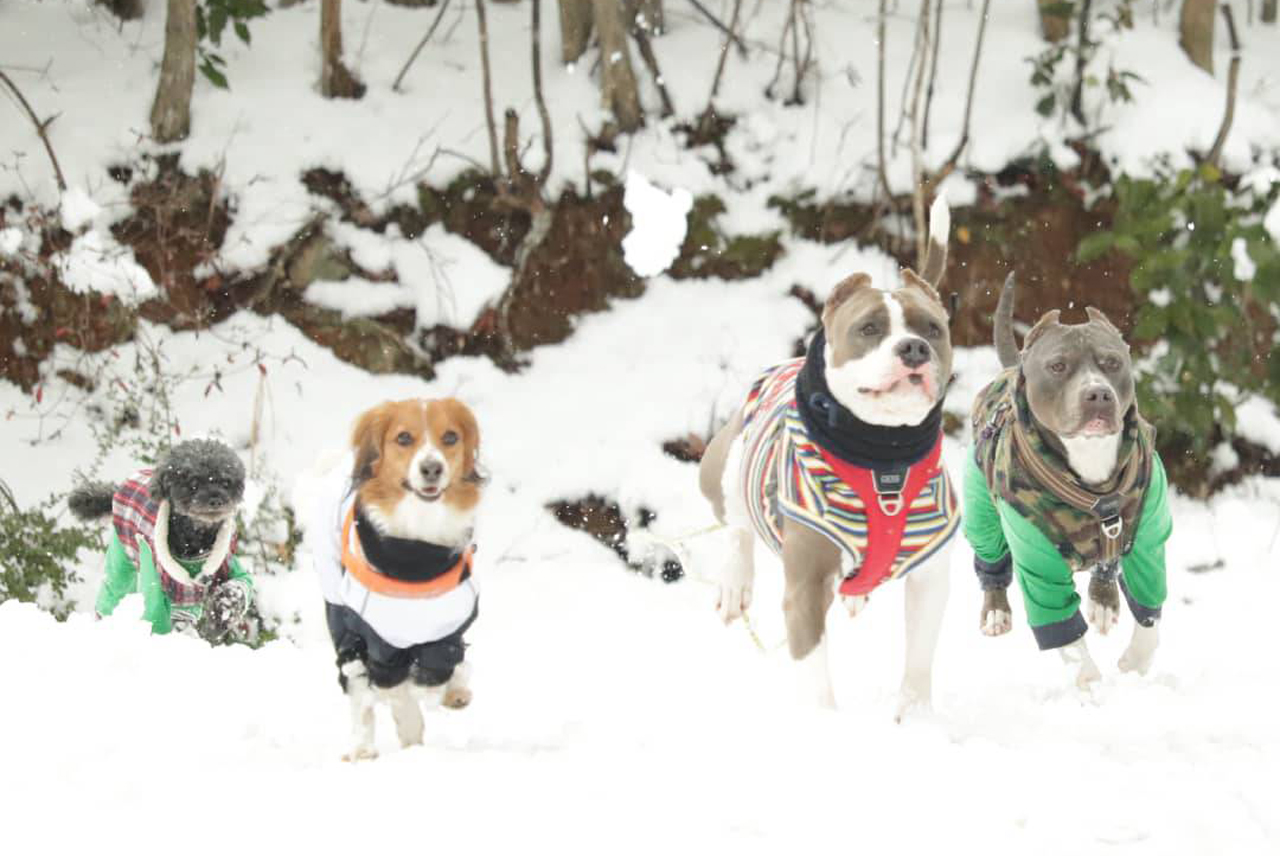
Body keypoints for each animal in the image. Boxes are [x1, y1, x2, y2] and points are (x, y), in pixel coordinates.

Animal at [304, 396, 483, 757]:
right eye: (403, 438)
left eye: (451, 437)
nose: (432, 468)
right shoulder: (378, 641)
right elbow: (395, 692)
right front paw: (412, 737)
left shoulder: (449, 625)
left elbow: (444, 662)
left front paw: (451, 691)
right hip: (342, 623)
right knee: (357, 690)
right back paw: (362, 750)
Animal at [696, 197, 957, 716]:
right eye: (869, 328)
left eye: (933, 329)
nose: (914, 347)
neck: (884, 457)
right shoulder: (806, 587)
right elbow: (815, 672)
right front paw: (827, 725)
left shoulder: (931, 576)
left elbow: (919, 659)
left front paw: (915, 717)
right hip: (724, 463)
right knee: (735, 523)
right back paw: (736, 584)